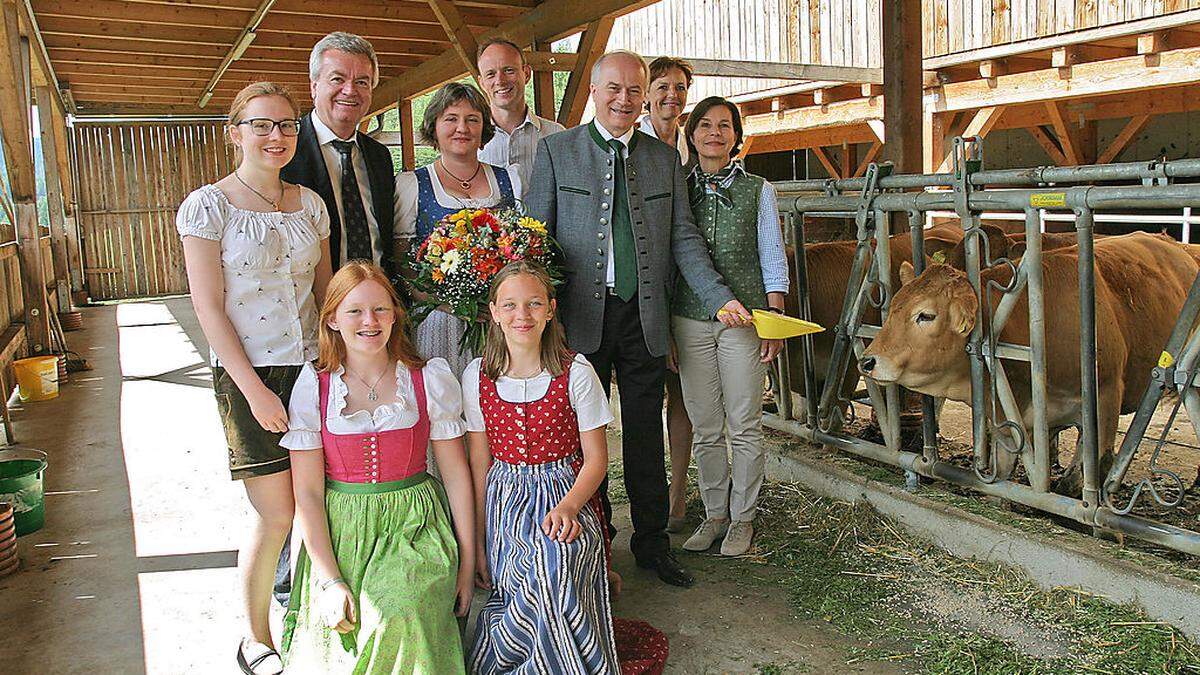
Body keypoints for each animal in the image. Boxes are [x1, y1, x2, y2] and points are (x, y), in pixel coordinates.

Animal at [859, 230, 1195, 487]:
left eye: (925, 315)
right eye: (895, 305)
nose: (867, 361)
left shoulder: (1105, 399)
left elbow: (1089, 471)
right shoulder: (1009, 421)